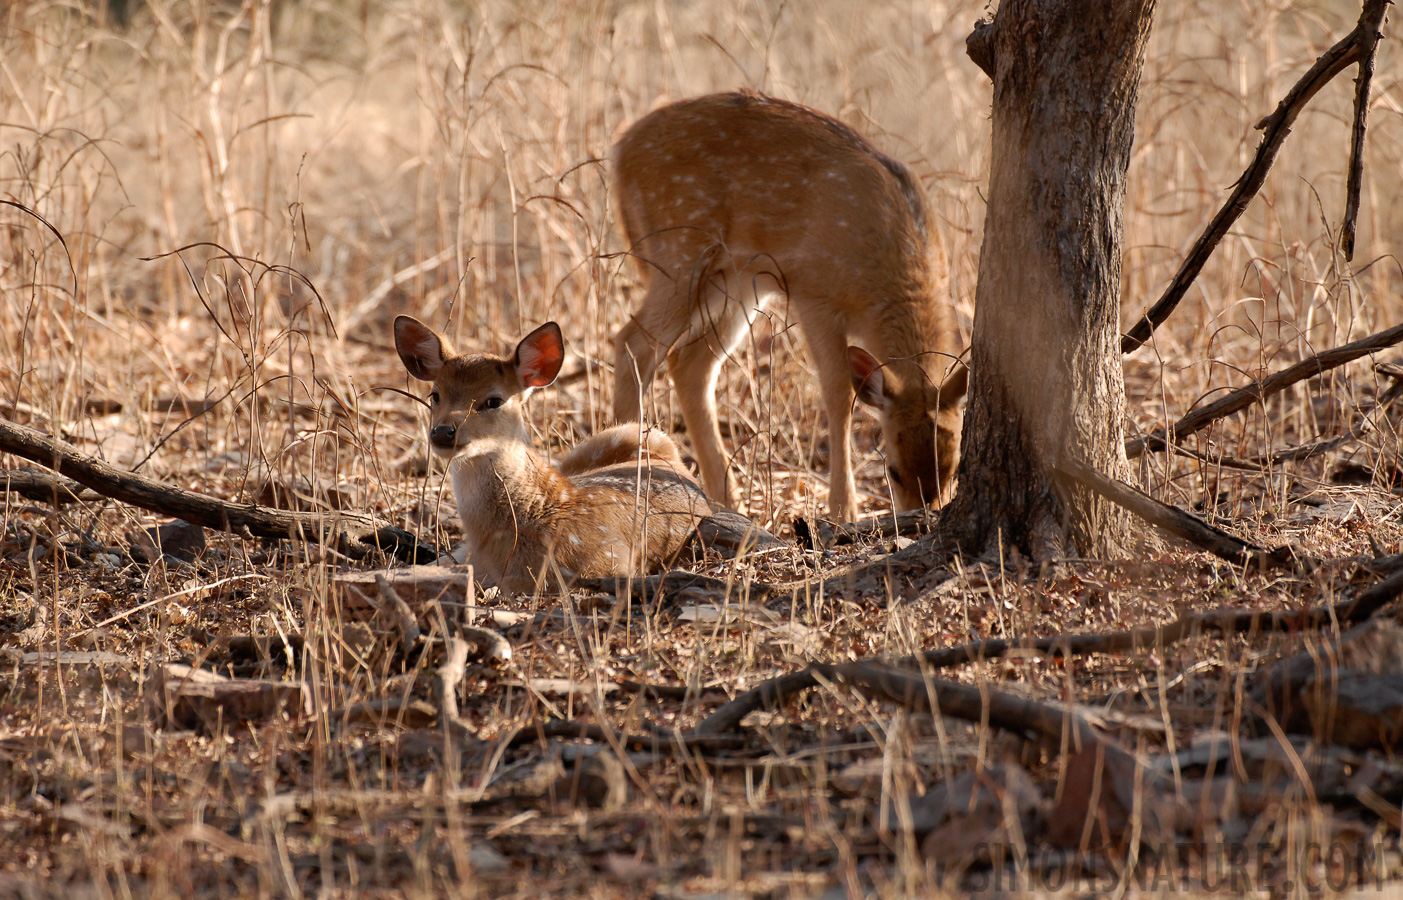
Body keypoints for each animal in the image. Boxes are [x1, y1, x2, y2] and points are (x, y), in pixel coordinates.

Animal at [395, 320, 707, 592]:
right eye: (434, 395)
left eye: (494, 400)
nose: (443, 432)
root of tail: (679, 464)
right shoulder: (464, 554)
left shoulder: (608, 560)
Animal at [614, 91, 965, 519]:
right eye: (894, 471)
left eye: (954, 469)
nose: (922, 514)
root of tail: (619, 151)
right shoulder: (814, 292)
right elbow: (838, 394)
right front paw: (844, 510)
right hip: (679, 254)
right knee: (633, 344)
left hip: (734, 280)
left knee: (691, 364)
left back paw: (727, 500)